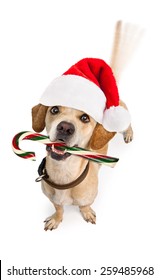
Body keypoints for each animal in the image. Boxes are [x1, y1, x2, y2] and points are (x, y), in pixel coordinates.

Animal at [31, 100, 132, 230]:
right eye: (54, 109)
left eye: (85, 118)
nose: (65, 127)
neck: (63, 172)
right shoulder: (53, 199)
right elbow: (59, 209)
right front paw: (56, 219)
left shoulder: (89, 199)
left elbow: (85, 206)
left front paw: (87, 213)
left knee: (128, 125)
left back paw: (128, 134)